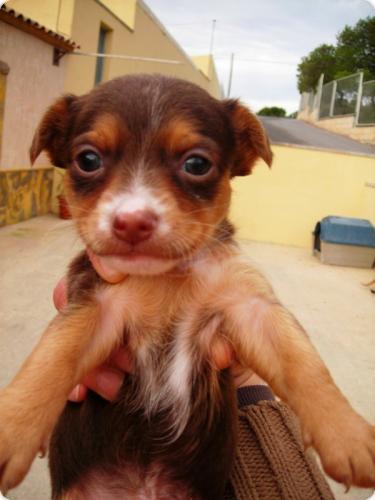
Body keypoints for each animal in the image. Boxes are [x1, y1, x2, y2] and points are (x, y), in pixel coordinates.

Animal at [0, 73, 375, 496]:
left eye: (197, 164)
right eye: (88, 160)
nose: (132, 222)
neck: (169, 277)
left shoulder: (250, 306)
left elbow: (305, 363)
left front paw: (347, 435)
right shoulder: (95, 306)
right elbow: (51, 357)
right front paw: (11, 428)